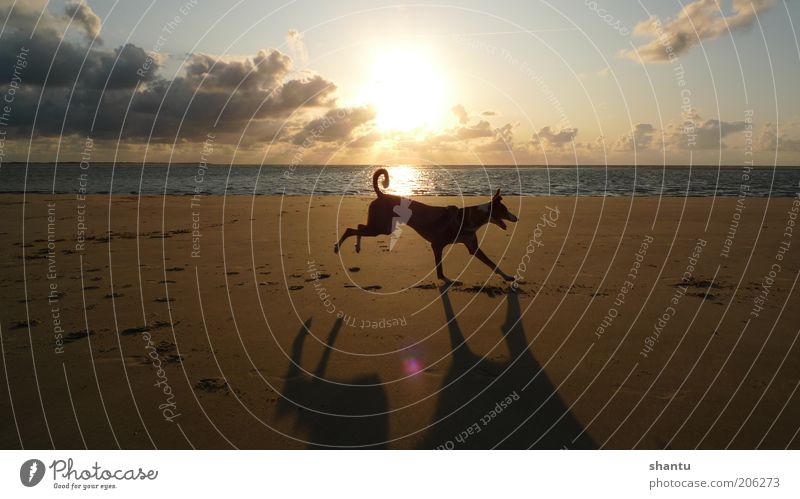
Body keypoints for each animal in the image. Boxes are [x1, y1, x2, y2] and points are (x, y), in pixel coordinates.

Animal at [332, 169, 516, 284]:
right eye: (505, 210)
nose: (517, 218)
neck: (468, 218)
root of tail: (381, 195)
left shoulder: (473, 247)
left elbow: (492, 264)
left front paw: (507, 277)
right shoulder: (437, 245)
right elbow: (440, 270)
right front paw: (448, 280)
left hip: (382, 227)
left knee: (359, 226)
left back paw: (357, 246)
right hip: (381, 227)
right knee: (351, 229)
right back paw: (338, 247)